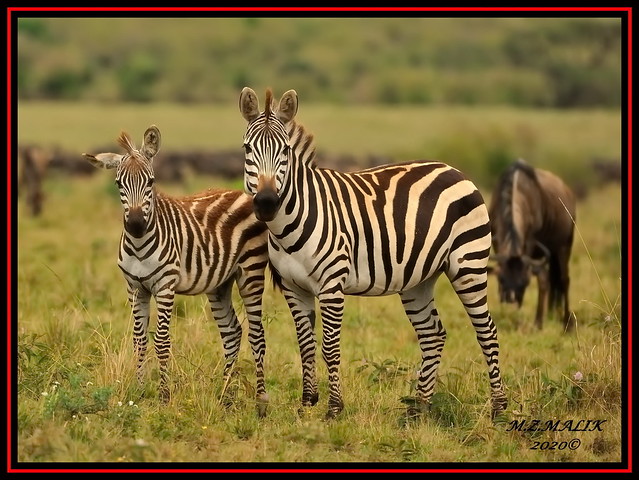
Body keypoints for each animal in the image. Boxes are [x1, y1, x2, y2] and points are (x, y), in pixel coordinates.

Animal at [83, 125, 270, 414]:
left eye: (150, 182)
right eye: (118, 184)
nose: (135, 225)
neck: (138, 244)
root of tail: (241, 193)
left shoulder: (165, 286)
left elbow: (161, 340)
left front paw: (163, 395)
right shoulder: (135, 288)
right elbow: (139, 340)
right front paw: (139, 391)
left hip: (251, 271)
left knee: (257, 333)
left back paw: (260, 401)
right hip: (219, 284)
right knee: (232, 332)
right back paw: (224, 397)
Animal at [240, 88, 510, 418]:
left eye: (285, 151)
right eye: (247, 149)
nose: (266, 203)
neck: (288, 224)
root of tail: (453, 170)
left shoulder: (331, 286)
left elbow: (329, 346)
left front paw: (334, 408)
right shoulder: (294, 288)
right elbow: (305, 344)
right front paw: (306, 404)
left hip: (468, 265)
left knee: (487, 331)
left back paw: (498, 408)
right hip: (418, 280)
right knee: (433, 335)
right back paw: (419, 409)